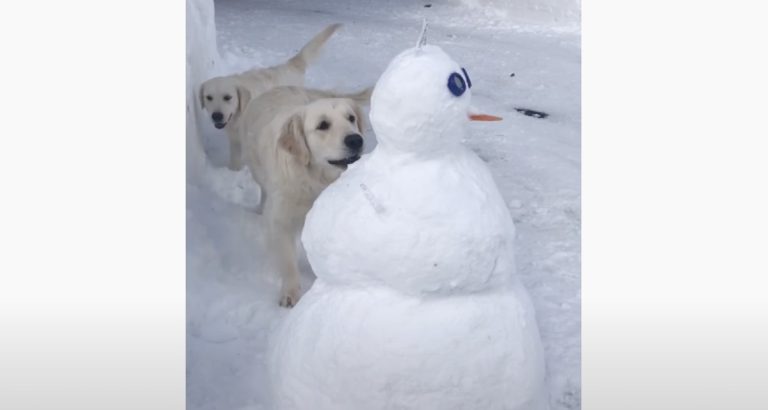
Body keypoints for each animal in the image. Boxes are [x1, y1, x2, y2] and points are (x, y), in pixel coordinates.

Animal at [200, 23, 340, 171]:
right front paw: (233, 171)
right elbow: (235, 160)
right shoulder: (235, 140)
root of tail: (290, 64)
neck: (241, 112)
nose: (216, 116)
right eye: (208, 97)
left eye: (227, 97)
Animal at [240, 85, 372, 306]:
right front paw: (290, 292)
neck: (313, 180)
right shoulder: (280, 219)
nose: (356, 140)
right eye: (323, 125)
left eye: (351, 118)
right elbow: (287, 260)